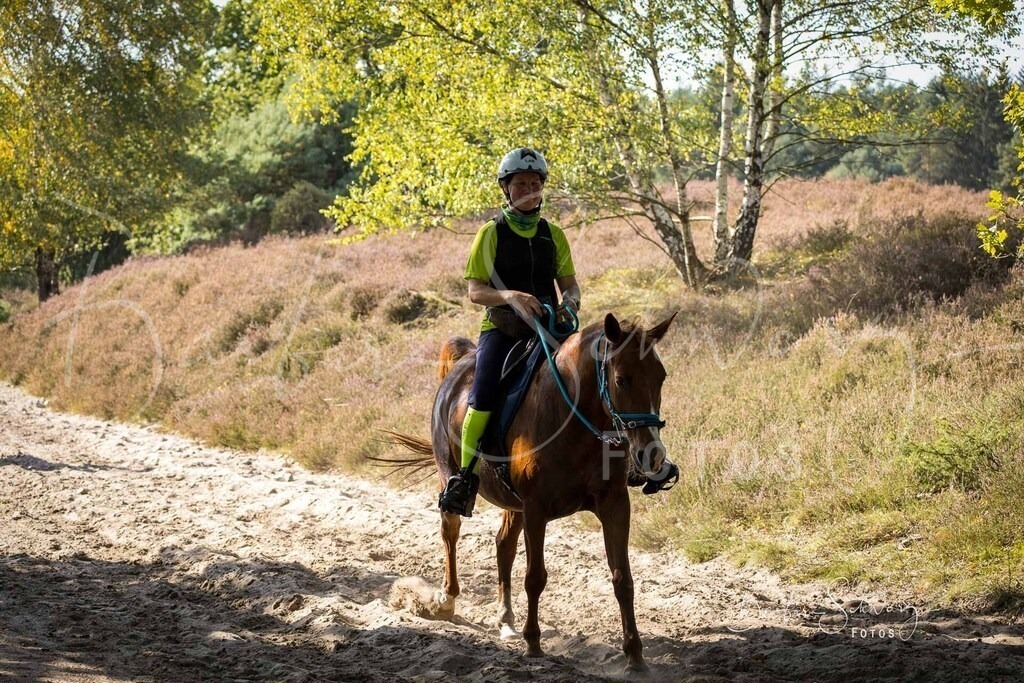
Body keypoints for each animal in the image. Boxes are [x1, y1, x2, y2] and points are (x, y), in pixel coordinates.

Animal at [388, 311, 676, 677]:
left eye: (661, 377)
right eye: (621, 380)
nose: (651, 455)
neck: (573, 422)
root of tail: (461, 366)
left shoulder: (614, 505)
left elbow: (623, 579)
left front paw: (635, 655)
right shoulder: (537, 508)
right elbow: (535, 577)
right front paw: (534, 645)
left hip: (514, 504)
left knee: (503, 545)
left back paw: (506, 620)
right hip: (452, 477)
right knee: (450, 532)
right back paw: (447, 600)